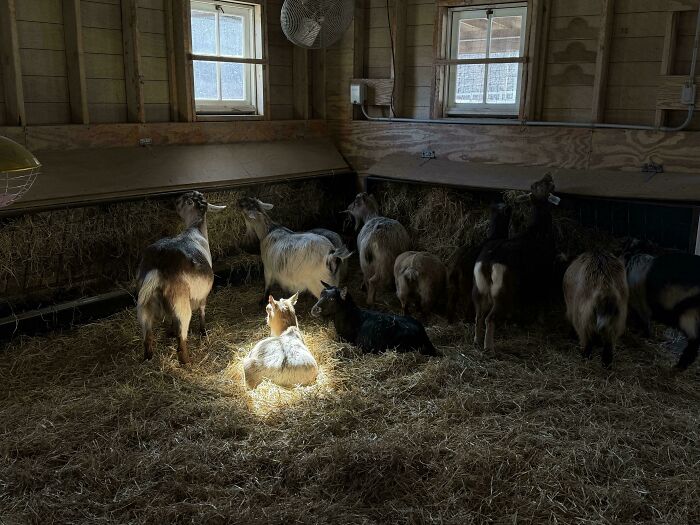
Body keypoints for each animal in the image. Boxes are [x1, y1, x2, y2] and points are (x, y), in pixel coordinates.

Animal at [137, 191, 226, 364]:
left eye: (182, 200)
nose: (173, 200)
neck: (195, 229)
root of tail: (158, 266)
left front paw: (170, 332)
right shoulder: (203, 294)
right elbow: (202, 310)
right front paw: (203, 331)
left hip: (143, 305)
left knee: (147, 337)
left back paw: (148, 359)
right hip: (181, 303)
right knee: (181, 339)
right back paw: (187, 361)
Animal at [473, 174, 559, 353]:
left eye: (535, 184)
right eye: (542, 185)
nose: (548, 175)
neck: (540, 228)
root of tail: (487, 263)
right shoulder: (546, 271)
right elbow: (542, 298)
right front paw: (541, 321)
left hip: (479, 287)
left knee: (478, 315)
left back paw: (477, 341)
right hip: (502, 290)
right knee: (490, 318)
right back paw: (489, 347)